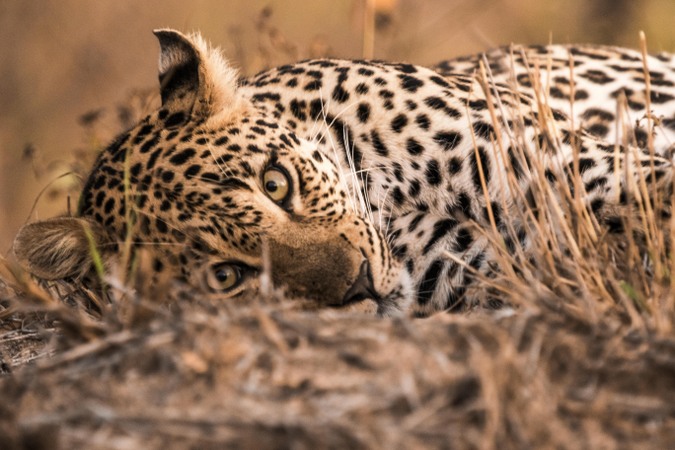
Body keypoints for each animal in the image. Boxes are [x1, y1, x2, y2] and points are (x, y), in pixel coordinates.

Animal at [13, 29, 675, 317]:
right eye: (224, 277)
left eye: (276, 183)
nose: (358, 285)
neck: (393, 197)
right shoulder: (491, 268)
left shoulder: (565, 165)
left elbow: (656, 191)